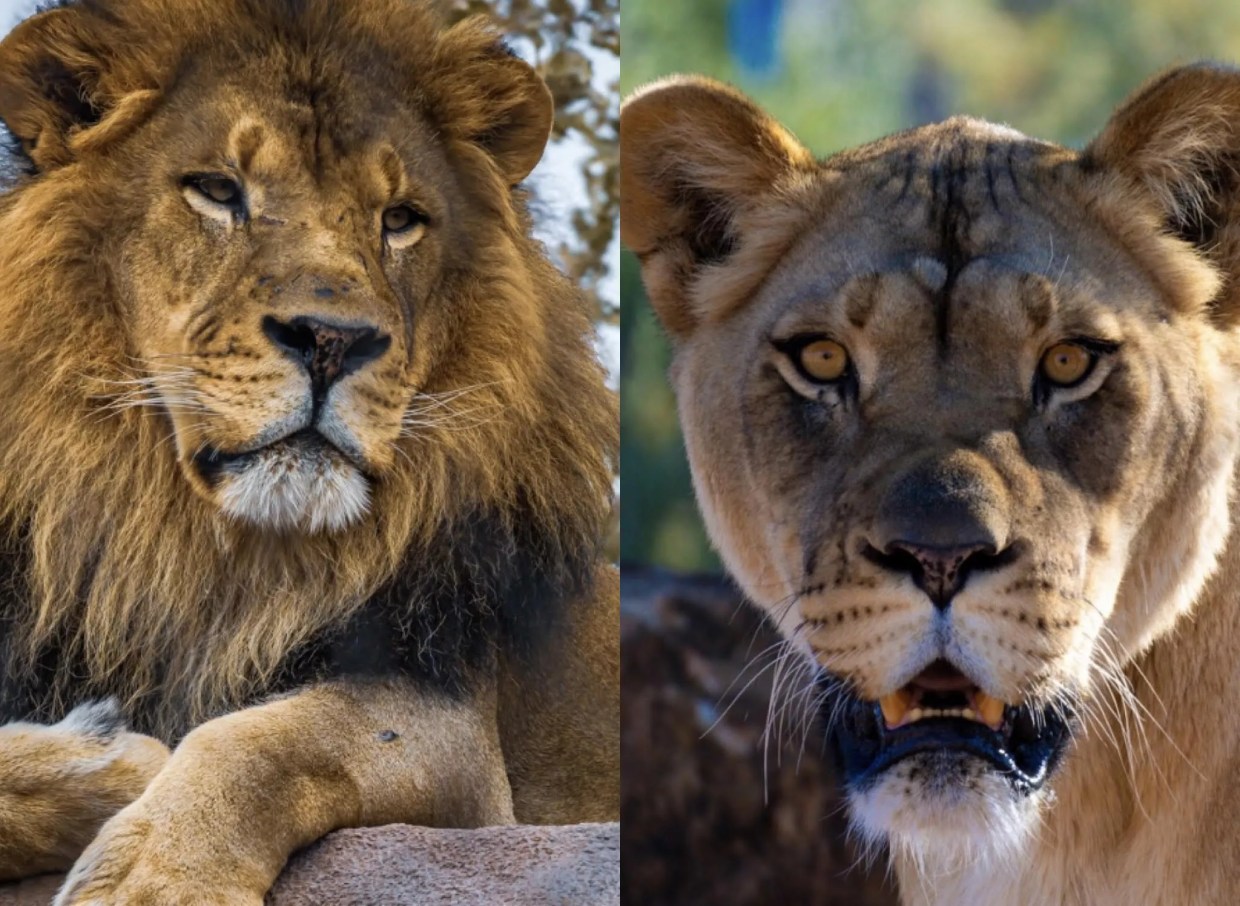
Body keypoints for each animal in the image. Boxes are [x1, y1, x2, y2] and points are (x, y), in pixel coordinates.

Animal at [0, 0, 619, 901]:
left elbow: (260, 742)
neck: (198, 556)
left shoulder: (449, 728)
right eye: (218, 190)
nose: (332, 340)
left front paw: (158, 874)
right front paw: (101, 766)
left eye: (399, 219)